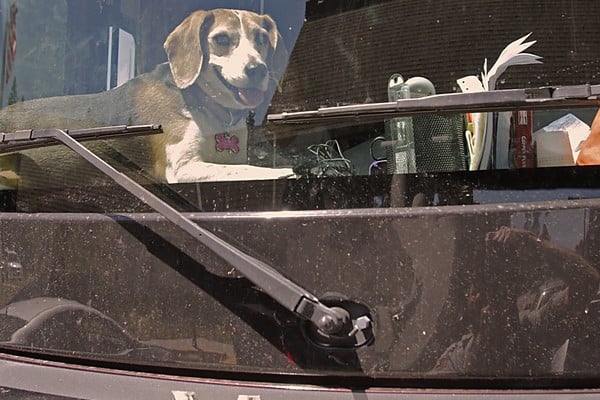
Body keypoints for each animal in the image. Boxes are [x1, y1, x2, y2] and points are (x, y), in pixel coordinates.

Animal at [0, 9, 292, 184]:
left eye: (261, 39)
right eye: (221, 39)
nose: (257, 69)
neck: (204, 105)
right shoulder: (182, 168)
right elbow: (259, 171)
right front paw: (287, 172)